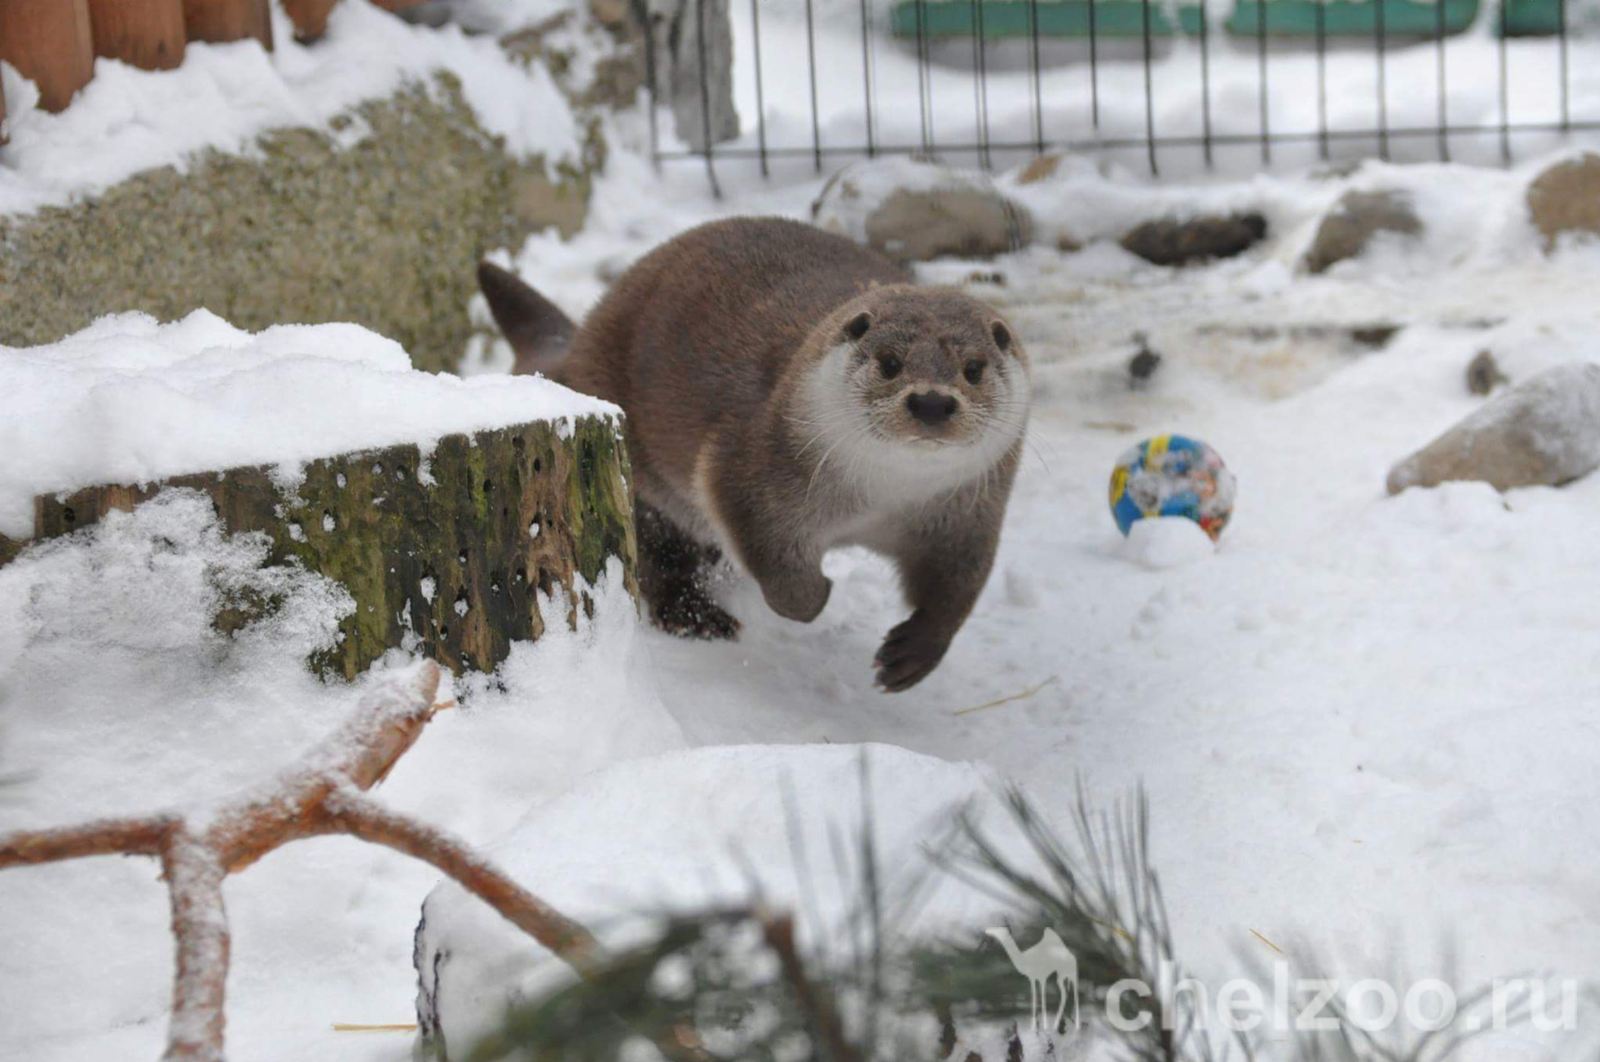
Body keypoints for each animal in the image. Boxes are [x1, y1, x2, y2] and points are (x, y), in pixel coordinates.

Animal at [476, 219, 1024, 694]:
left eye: (973, 368)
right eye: (890, 363)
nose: (931, 401)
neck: (879, 502)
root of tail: (577, 347)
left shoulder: (967, 514)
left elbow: (958, 585)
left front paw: (913, 653)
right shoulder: (752, 466)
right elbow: (775, 564)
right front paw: (815, 596)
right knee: (655, 549)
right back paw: (696, 615)